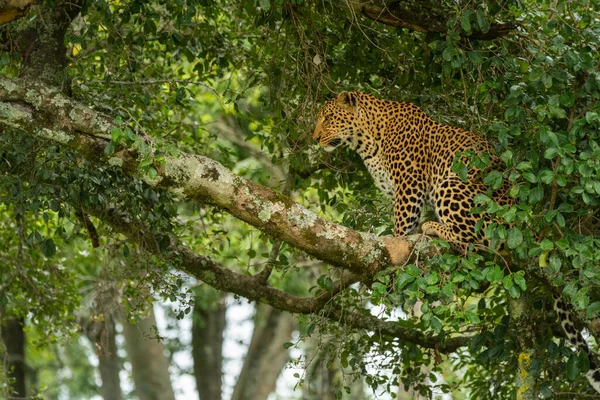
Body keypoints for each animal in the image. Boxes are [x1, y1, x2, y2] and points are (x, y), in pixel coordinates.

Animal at [314, 90, 600, 394]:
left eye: (328, 118)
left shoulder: (408, 187)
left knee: (475, 243)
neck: (367, 138)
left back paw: (435, 228)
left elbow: (402, 228)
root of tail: (526, 224)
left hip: (454, 185)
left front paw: (391, 267)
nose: (314, 138)